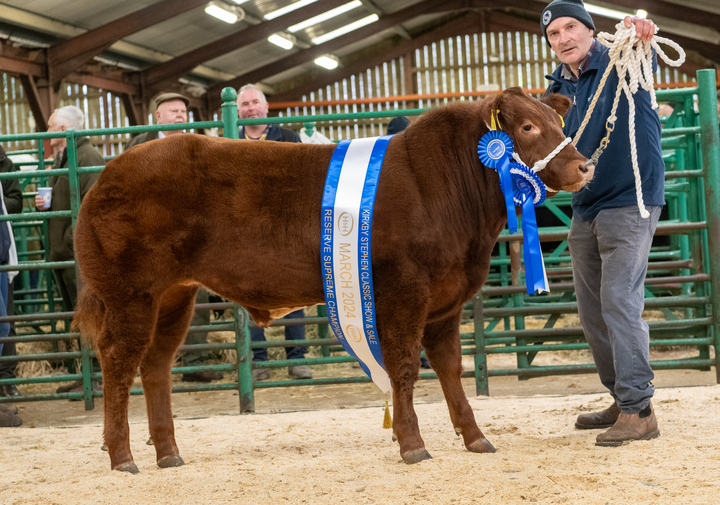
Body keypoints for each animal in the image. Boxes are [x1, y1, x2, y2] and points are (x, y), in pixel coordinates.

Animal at [73, 87, 592, 472]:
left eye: (559, 123)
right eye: (527, 127)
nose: (584, 165)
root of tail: (106, 175)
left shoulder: (447, 299)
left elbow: (450, 368)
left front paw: (476, 438)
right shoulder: (403, 290)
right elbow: (405, 367)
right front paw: (413, 444)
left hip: (174, 295)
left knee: (156, 364)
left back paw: (169, 454)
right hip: (130, 292)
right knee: (119, 360)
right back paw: (122, 456)